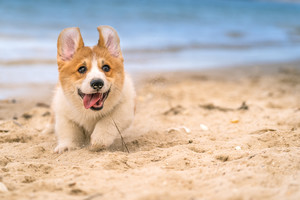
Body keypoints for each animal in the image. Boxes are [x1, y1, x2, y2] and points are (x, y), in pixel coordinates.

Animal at [50, 25, 135, 153]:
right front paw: (66, 146)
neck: (90, 113)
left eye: (106, 68)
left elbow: (109, 119)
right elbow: (69, 130)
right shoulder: (63, 113)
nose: (97, 83)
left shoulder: (125, 108)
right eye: (81, 69)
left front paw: (99, 140)